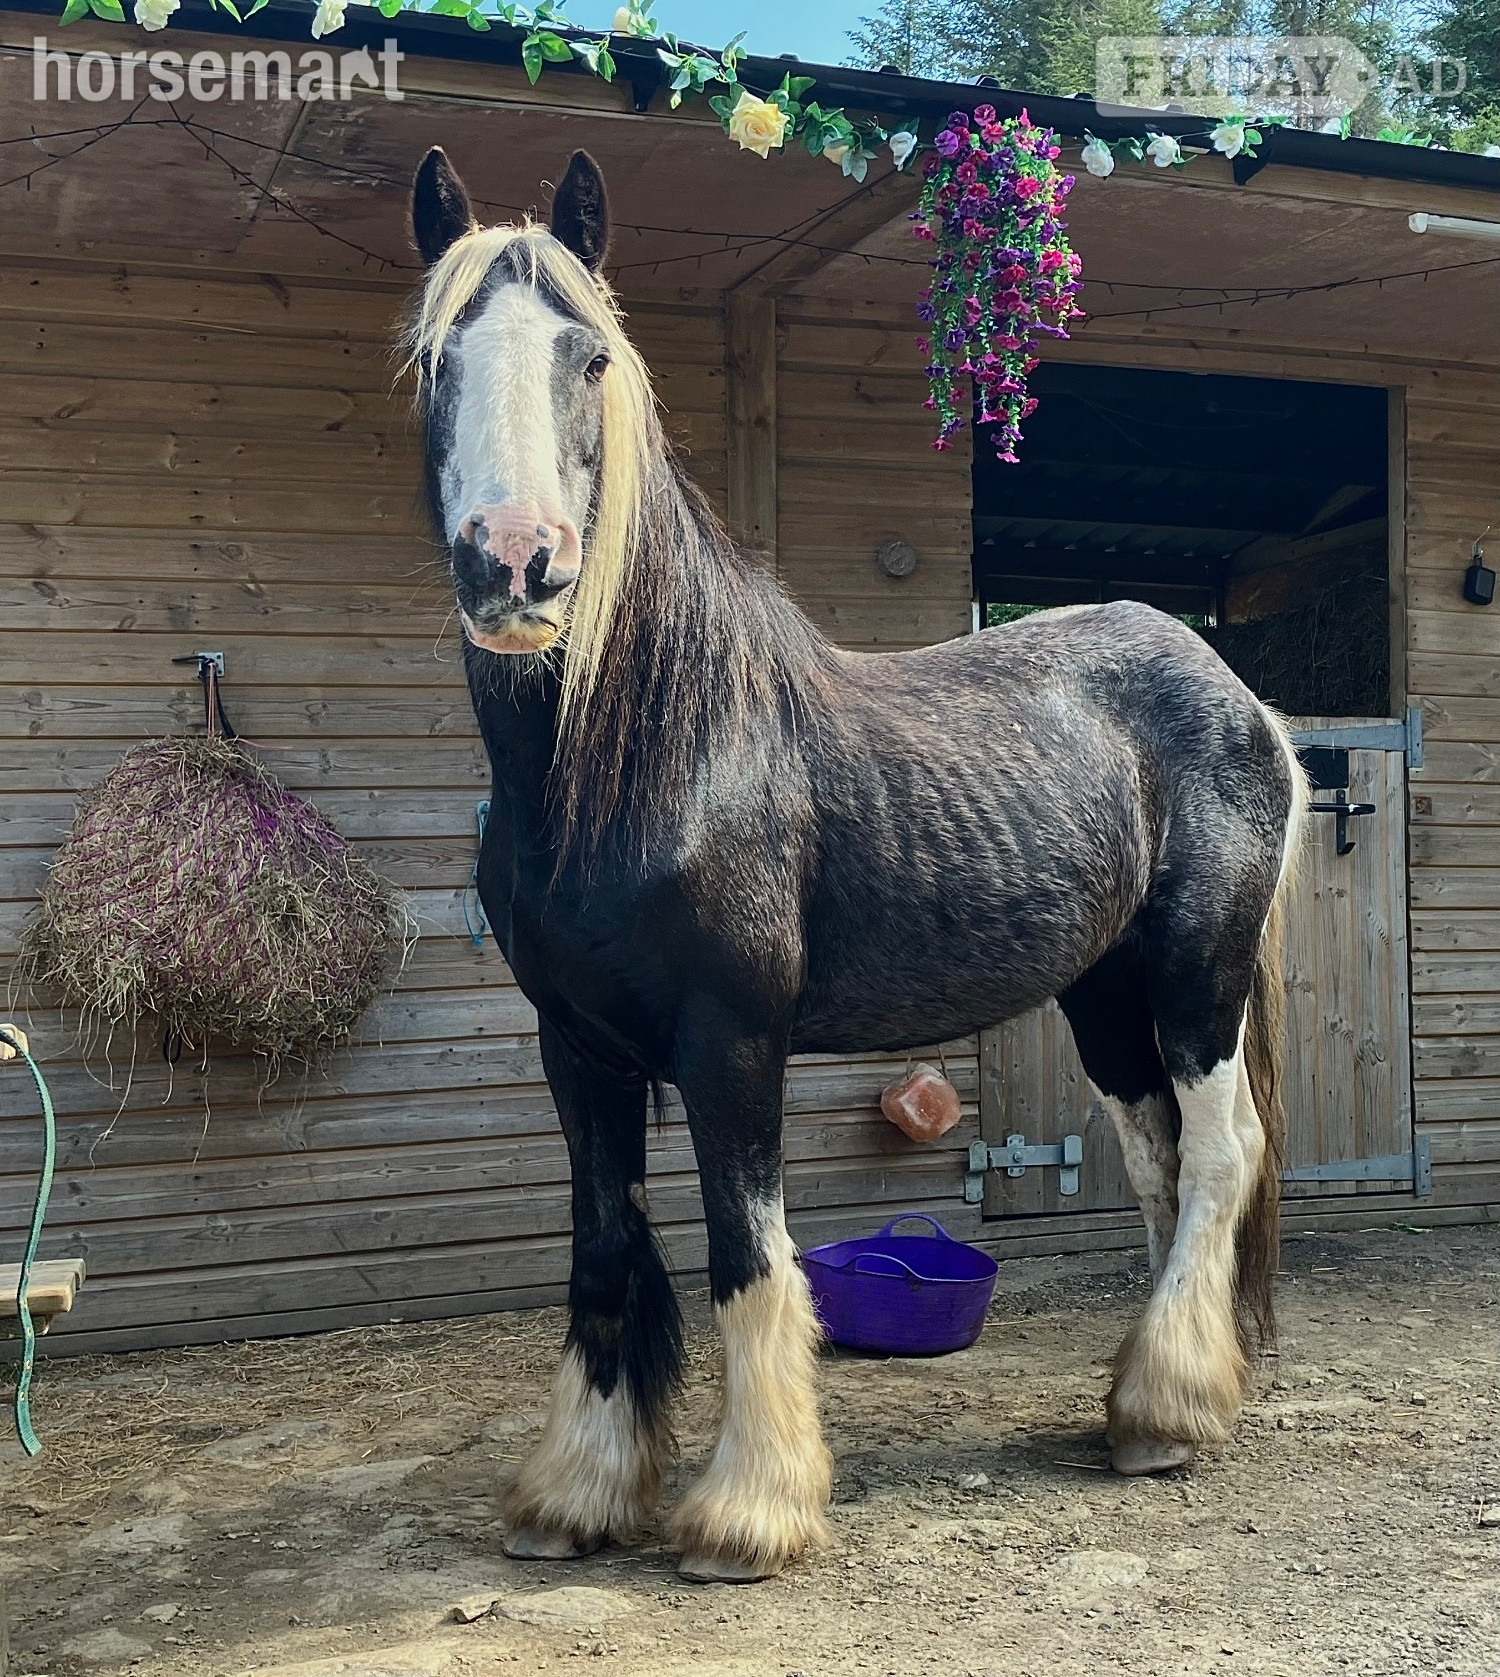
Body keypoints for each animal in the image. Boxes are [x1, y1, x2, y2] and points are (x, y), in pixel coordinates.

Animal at [405, 145, 1305, 1585]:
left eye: (587, 356)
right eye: (439, 360)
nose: (518, 563)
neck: (660, 752)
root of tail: (1241, 700)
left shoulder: (732, 1039)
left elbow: (746, 1254)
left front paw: (749, 1513)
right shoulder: (577, 1047)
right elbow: (604, 1248)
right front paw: (575, 1495)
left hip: (1193, 982)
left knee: (1224, 1154)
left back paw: (1169, 1413)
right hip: (1105, 1000)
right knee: (1162, 1166)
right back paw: (1154, 1400)